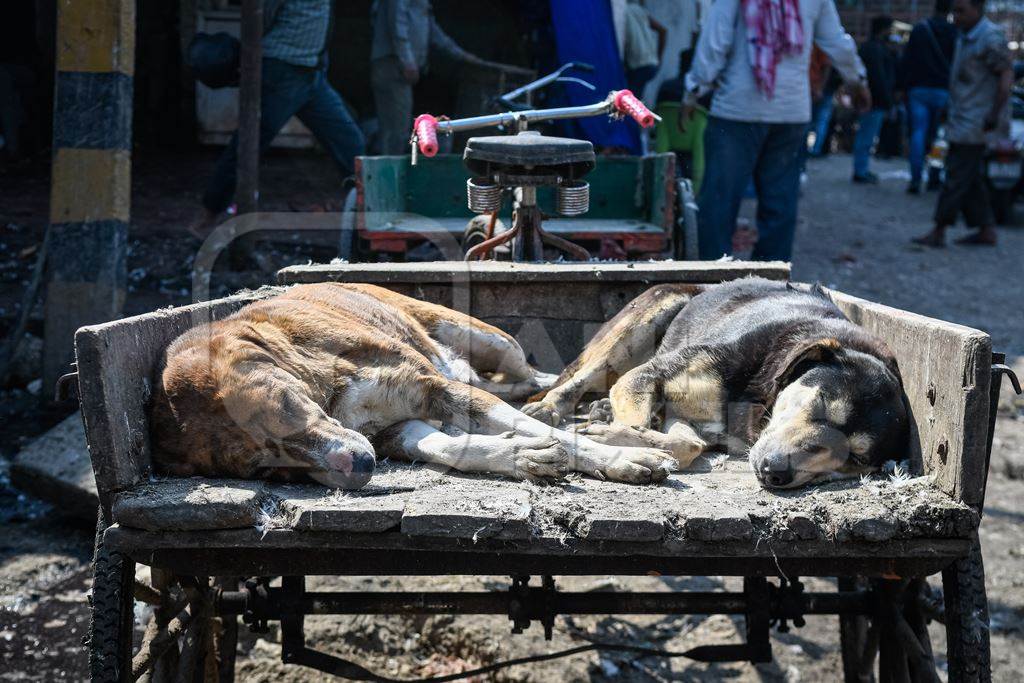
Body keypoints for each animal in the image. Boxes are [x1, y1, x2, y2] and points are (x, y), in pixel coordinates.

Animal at [524, 274, 909, 489]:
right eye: (821, 405)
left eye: (854, 459)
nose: (774, 472)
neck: (758, 397)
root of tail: (706, 285)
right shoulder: (646, 376)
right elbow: (641, 423)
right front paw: (621, 445)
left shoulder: (687, 421)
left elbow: (686, 444)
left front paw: (623, 437)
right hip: (644, 319)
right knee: (579, 379)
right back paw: (549, 407)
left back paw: (602, 409)